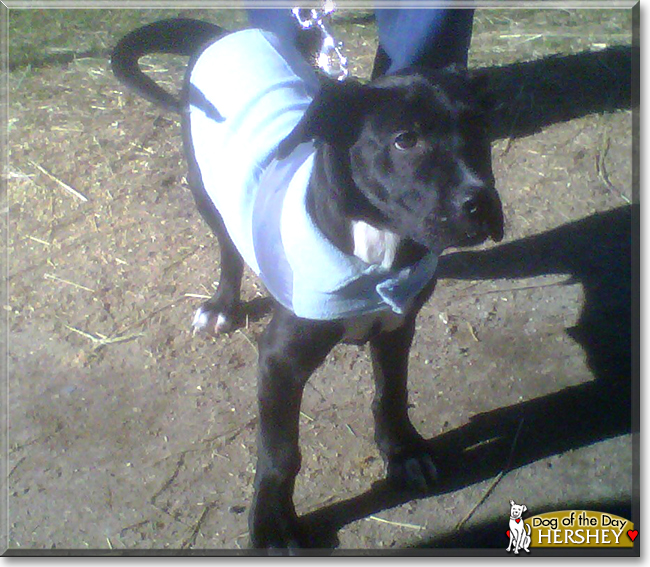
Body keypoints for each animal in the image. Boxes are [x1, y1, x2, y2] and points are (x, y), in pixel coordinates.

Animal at [112, 18, 502, 552]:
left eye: (480, 129)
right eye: (405, 140)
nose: (480, 203)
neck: (377, 245)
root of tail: (224, 34)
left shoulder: (397, 326)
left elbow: (391, 393)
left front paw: (403, 452)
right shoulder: (280, 361)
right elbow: (281, 455)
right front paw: (271, 526)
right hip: (203, 186)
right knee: (228, 247)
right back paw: (222, 304)